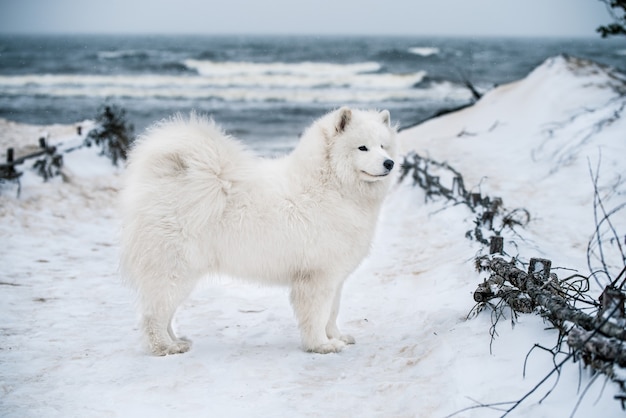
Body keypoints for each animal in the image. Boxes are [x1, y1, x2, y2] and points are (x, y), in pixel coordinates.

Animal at [119, 106, 394, 354]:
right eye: (362, 147)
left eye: (383, 146)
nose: (389, 163)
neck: (331, 185)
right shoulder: (318, 276)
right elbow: (318, 315)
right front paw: (322, 345)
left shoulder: (335, 277)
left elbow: (332, 313)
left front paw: (336, 337)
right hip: (174, 273)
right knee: (153, 316)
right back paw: (164, 347)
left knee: (164, 315)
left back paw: (177, 342)